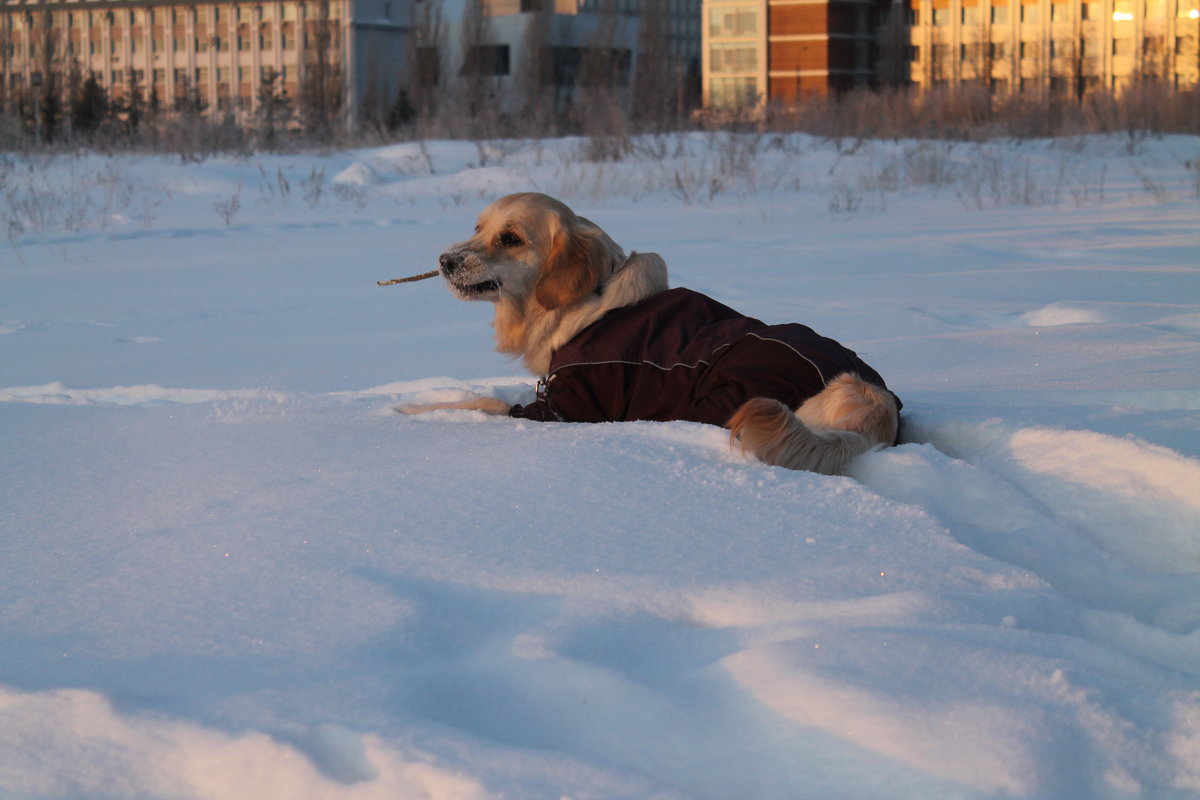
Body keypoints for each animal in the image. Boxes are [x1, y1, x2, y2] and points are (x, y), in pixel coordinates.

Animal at [403, 191, 902, 474]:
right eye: (478, 227)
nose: (444, 261)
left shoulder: (570, 407)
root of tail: (869, 391)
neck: (583, 303)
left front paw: (409, 410)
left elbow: (482, 404)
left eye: (510, 239)